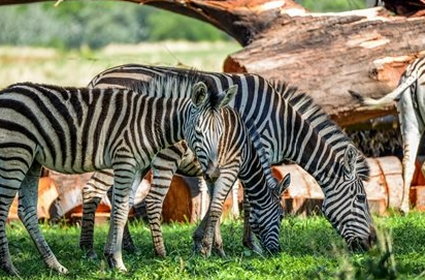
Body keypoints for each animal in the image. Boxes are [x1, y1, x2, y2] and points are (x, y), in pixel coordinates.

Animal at [0, 75, 245, 274]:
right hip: (15, 156)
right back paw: (10, 267)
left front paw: (110, 256)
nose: (214, 172)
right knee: (4, 208)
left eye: (220, 133)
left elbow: (124, 207)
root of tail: (6, 91)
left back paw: (54, 265)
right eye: (198, 132)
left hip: (32, 162)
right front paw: (118, 262)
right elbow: (119, 210)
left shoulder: (135, 166)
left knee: (26, 210)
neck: (149, 124)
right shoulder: (125, 161)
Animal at [82, 63, 374, 254]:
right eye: (361, 199)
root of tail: (98, 77)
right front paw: (249, 244)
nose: (370, 244)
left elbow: (226, 196)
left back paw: (125, 246)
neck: (285, 125)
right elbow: (246, 199)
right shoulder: (258, 145)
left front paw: (206, 241)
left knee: (117, 194)